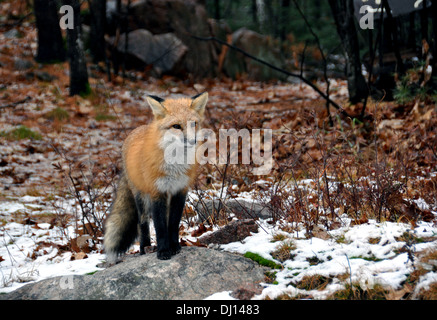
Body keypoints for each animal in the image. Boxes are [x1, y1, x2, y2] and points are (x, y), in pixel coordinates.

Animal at [104, 92, 209, 262]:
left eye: (194, 124)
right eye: (176, 126)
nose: (192, 141)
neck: (175, 166)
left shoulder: (180, 190)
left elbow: (172, 224)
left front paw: (174, 247)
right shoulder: (156, 191)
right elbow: (159, 227)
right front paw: (163, 251)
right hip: (141, 197)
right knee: (142, 223)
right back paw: (144, 248)